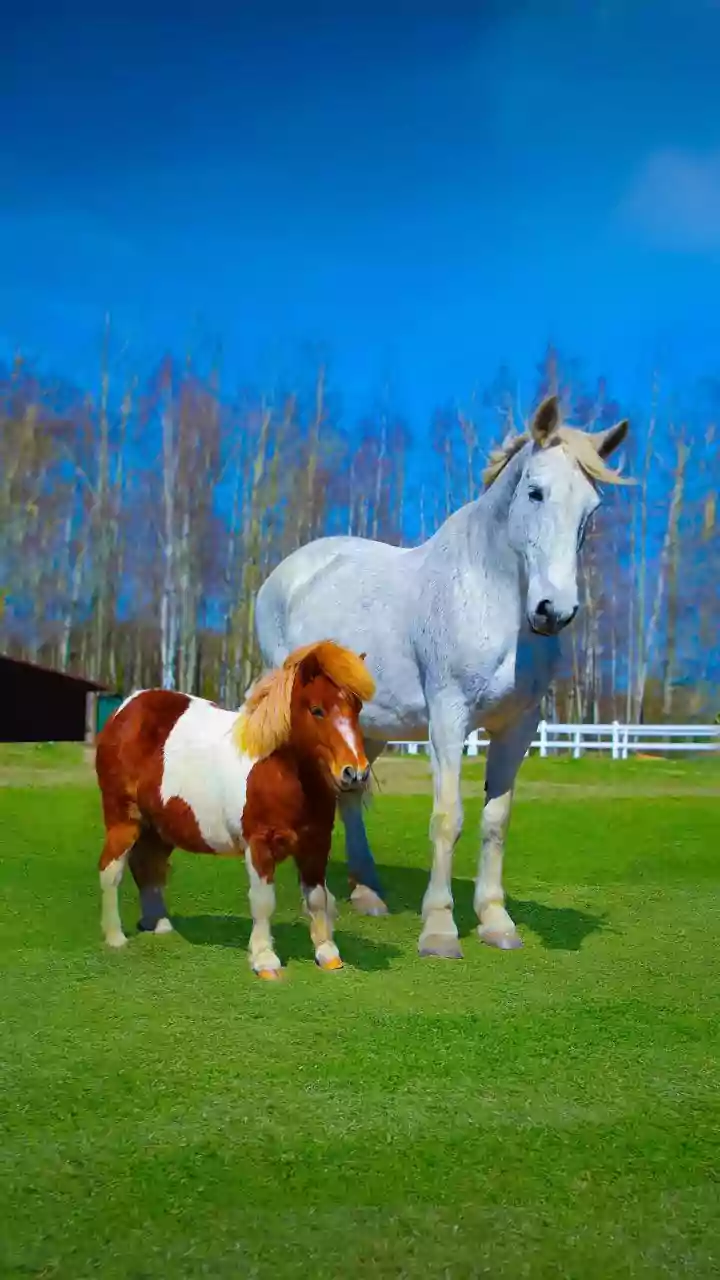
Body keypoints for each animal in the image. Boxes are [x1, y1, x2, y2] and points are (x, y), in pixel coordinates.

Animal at [94, 640, 375, 978]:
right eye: (317, 710)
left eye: (356, 709)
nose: (355, 773)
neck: (281, 770)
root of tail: (124, 711)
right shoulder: (260, 845)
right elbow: (263, 901)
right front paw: (265, 960)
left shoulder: (316, 844)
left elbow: (317, 898)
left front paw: (327, 954)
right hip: (124, 819)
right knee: (111, 870)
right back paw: (114, 937)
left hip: (158, 828)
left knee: (148, 865)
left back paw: (158, 924)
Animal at [255, 394, 632, 958]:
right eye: (535, 491)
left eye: (592, 508)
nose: (554, 612)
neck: (490, 595)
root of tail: (287, 574)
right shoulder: (448, 720)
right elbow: (447, 817)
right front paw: (438, 930)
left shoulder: (519, 726)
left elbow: (496, 820)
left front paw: (496, 922)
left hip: (367, 725)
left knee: (348, 794)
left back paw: (367, 893)